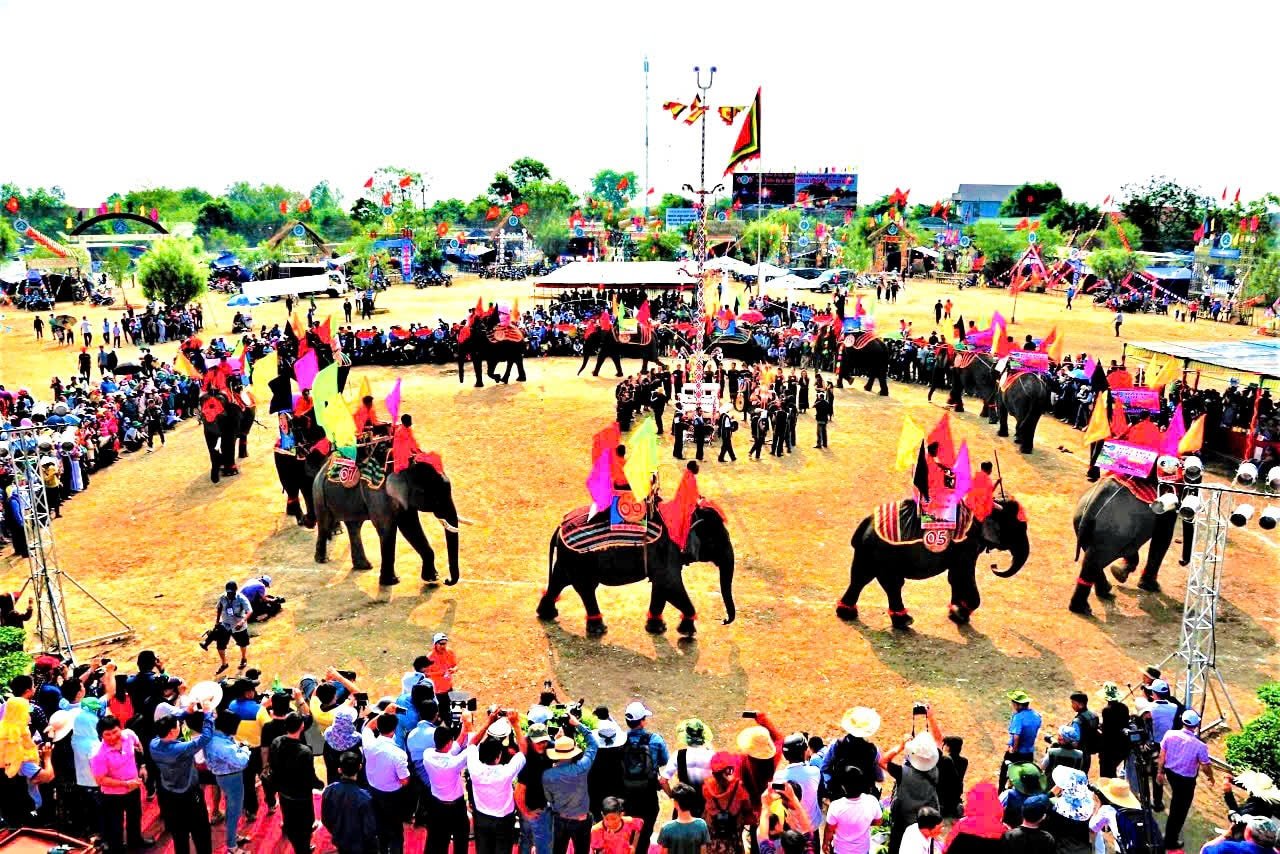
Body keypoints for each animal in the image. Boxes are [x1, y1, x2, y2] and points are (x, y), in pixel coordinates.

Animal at [313, 460, 463, 588]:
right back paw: (323, 560)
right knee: (325, 523)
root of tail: (321, 470)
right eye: (427, 493)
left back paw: (364, 566)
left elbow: (410, 525)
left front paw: (432, 578)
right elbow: (388, 528)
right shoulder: (378, 494)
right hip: (319, 494)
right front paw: (392, 582)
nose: (447, 581)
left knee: (354, 526)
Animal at [535, 504, 737, 637]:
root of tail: (559, 527)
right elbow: (670, 585)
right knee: (585, 588)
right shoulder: (666, 551)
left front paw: (658, 629)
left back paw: (547, 615)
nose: (723, 620)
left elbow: (661, 587)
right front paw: (687, 633)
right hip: (580, 561)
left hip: (568, 560)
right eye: (715, 541)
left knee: (558, 581)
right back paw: (599, 630)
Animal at [834, 496, 1034, 632]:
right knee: (891, 584)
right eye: (1019, 528)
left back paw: (848, 614)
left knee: (861, 578)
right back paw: (905, 621)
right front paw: (961, 613)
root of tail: (865, 524)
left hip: (869, 554)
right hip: (885, 554)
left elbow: (955, 577)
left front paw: (955, 612)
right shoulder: (966, 545)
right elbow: (964, 573)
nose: (994, 566)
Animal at [1064, 478, 1172, 612]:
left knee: (1091, 559)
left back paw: (1104, 591)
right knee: (1096, 560)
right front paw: (1150, 586)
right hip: (1113, 530)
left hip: (1081, 521)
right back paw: (1083, 608)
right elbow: (1163, 534)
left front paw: (1120, 572)